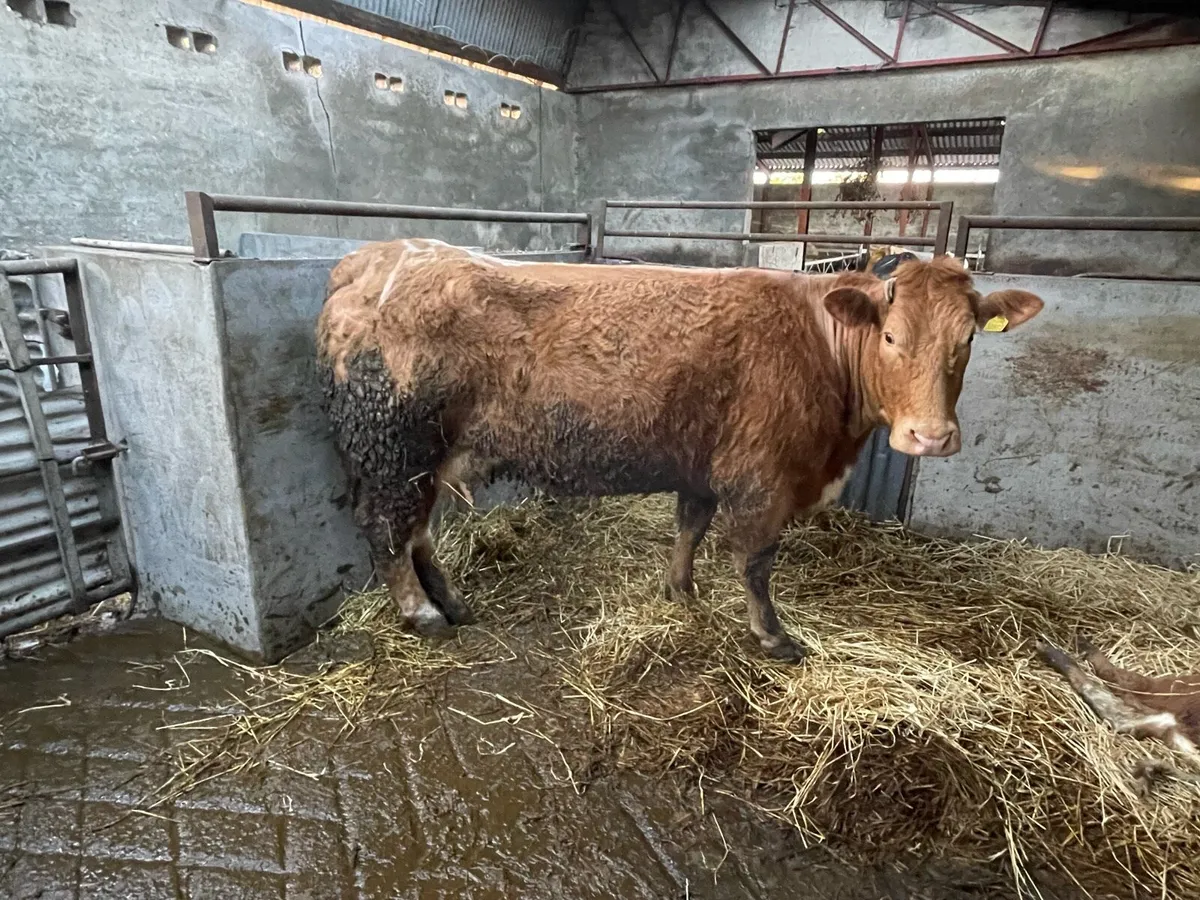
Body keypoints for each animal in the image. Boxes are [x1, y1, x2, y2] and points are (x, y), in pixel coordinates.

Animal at [316, 239, 1043, 662]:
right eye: (891, 337)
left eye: (967, 341)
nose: (931, 436)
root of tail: (376, 258)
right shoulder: (763, 478)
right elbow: (756, 562)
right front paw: (773, 636)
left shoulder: (704, 462)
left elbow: (689, 526)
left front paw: (681, 591)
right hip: (394, 448)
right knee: (387, 531)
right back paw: (422, 614)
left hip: (425, 455)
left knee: (417, 531)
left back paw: (450, 601)